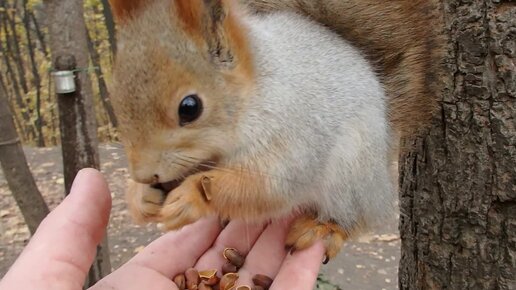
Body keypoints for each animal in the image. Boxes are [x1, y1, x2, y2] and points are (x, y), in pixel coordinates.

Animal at [107, 0, 442, 260]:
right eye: (116, 97)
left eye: (190, 107)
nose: (144, 175)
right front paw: (140, 197)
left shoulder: (292, 128)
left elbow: (268, 187)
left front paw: (192, 196)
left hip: (352, 173)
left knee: (358, 215)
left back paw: (324, 227)